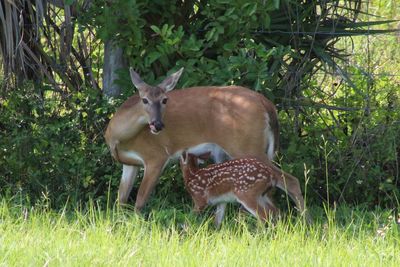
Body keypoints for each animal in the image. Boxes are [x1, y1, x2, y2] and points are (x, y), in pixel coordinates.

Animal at [104, 67, 306, 216]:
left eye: (165, 100)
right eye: (144, 100)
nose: (158, 124)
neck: (119, 137)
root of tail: (267, 104)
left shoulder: (156, 156)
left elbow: (139, 200)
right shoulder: (130, 164)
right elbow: (120, 200)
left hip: (248, 146)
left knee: (290, 181)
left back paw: (305, 223)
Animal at [181, 152, 310, 227]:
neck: (191, 176)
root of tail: (271, 176)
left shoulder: (200, 199)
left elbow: (189, 218)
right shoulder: (222, 201)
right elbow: (217, 221)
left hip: (246, 193)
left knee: (263, 215)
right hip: (261, 195)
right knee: (275, 211)